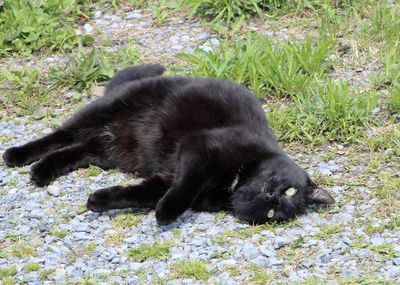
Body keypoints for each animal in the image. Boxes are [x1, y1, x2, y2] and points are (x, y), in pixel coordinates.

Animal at [3, 63, 334, 224]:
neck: (233, 184)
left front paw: (99, 200)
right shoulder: (199, 149)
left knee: (75, 150)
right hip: (107, 109)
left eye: (273, 213)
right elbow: (185, 187)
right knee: (60, 135)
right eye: (287, 189)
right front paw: (166, 214)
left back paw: (42, 171)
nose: (271, 195)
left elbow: (137, 195)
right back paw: (17, 156)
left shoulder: (164, 179)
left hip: (108, 149)